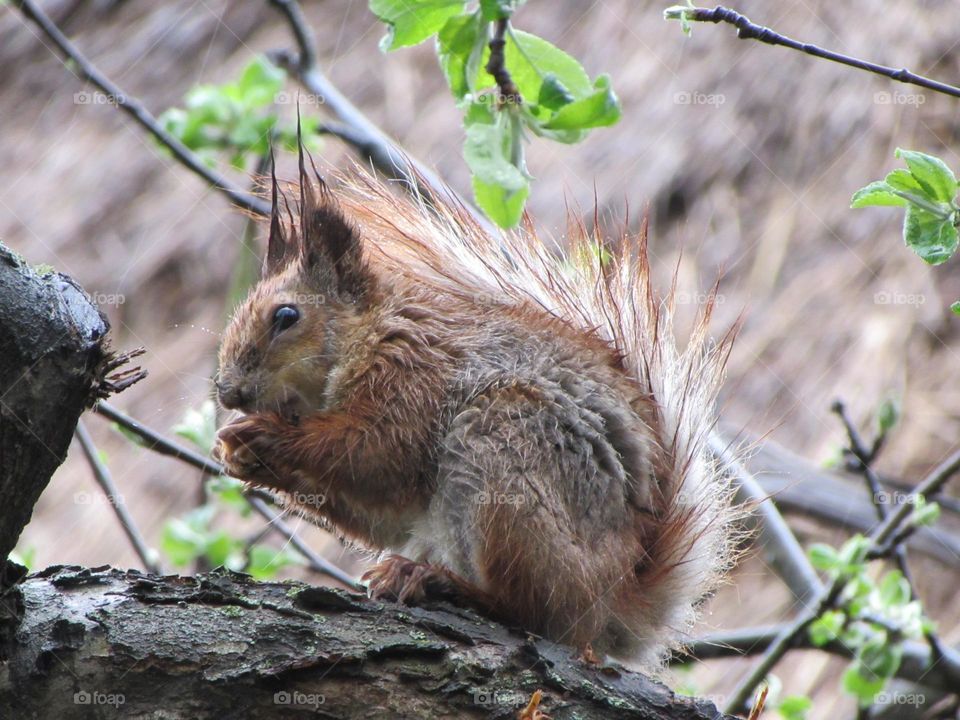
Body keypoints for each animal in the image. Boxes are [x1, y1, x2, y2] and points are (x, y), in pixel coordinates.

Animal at [212, 143, 736, 668]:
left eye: (286, 316)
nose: (226, 391)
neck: (376, 332)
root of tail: (616, 604)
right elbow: (377, 510)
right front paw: (237, 453)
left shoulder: (415, 378)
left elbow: (374, 455)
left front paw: (264, 436)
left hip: (500, 453)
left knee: (533, 611)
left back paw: (438, 583)